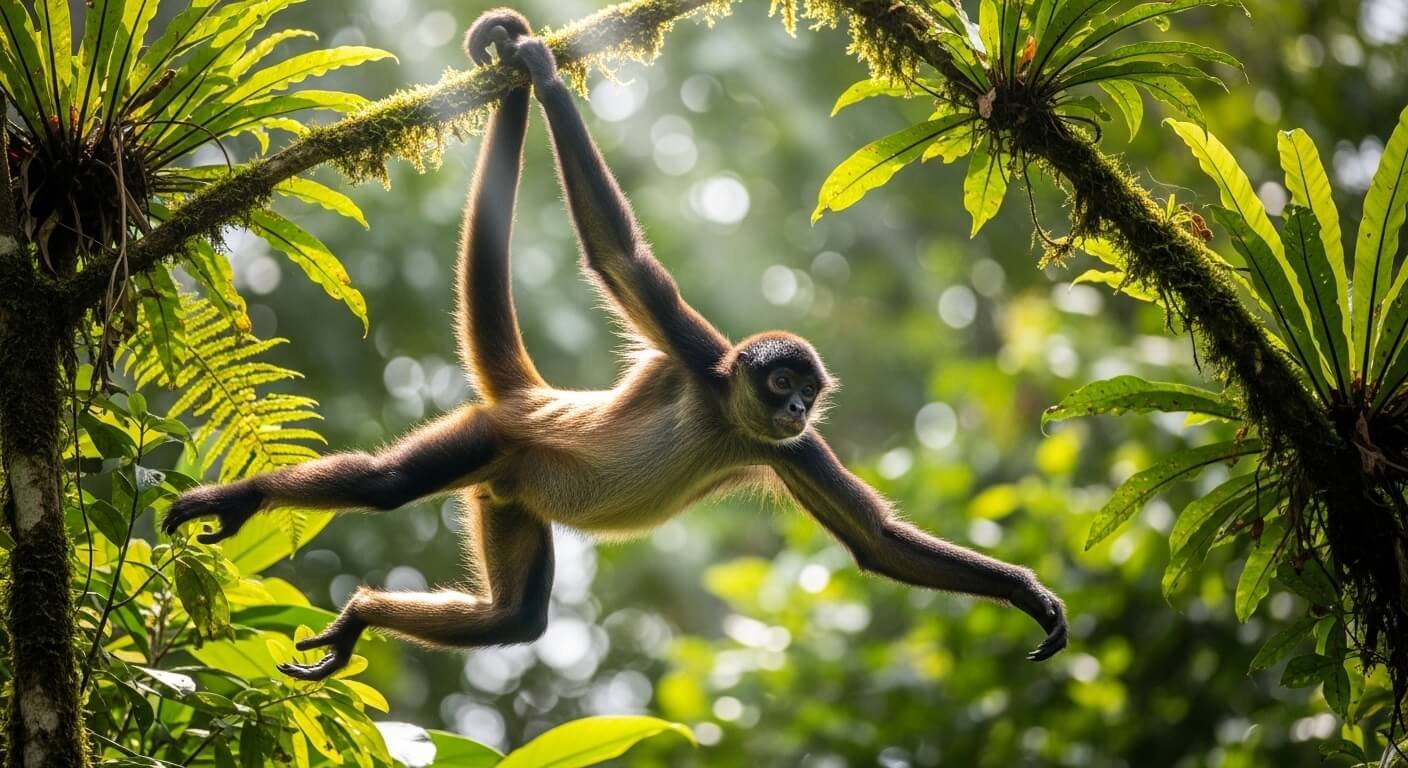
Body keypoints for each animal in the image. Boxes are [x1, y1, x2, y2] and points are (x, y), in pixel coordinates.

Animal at [163, 9, 1067, 681]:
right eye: (783, 383)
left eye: (807, 394)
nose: (800, 409)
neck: (726, 414)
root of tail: (530, 399)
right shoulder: (700, 356)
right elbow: (617, 256)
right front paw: (547, 76)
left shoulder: (788, 449)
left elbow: (875, 543)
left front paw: (1028, 595)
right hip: (491, 438)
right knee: (388, 486)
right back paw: (246, 500)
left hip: (508, 490)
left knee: (515, 620)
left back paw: (361, 616)